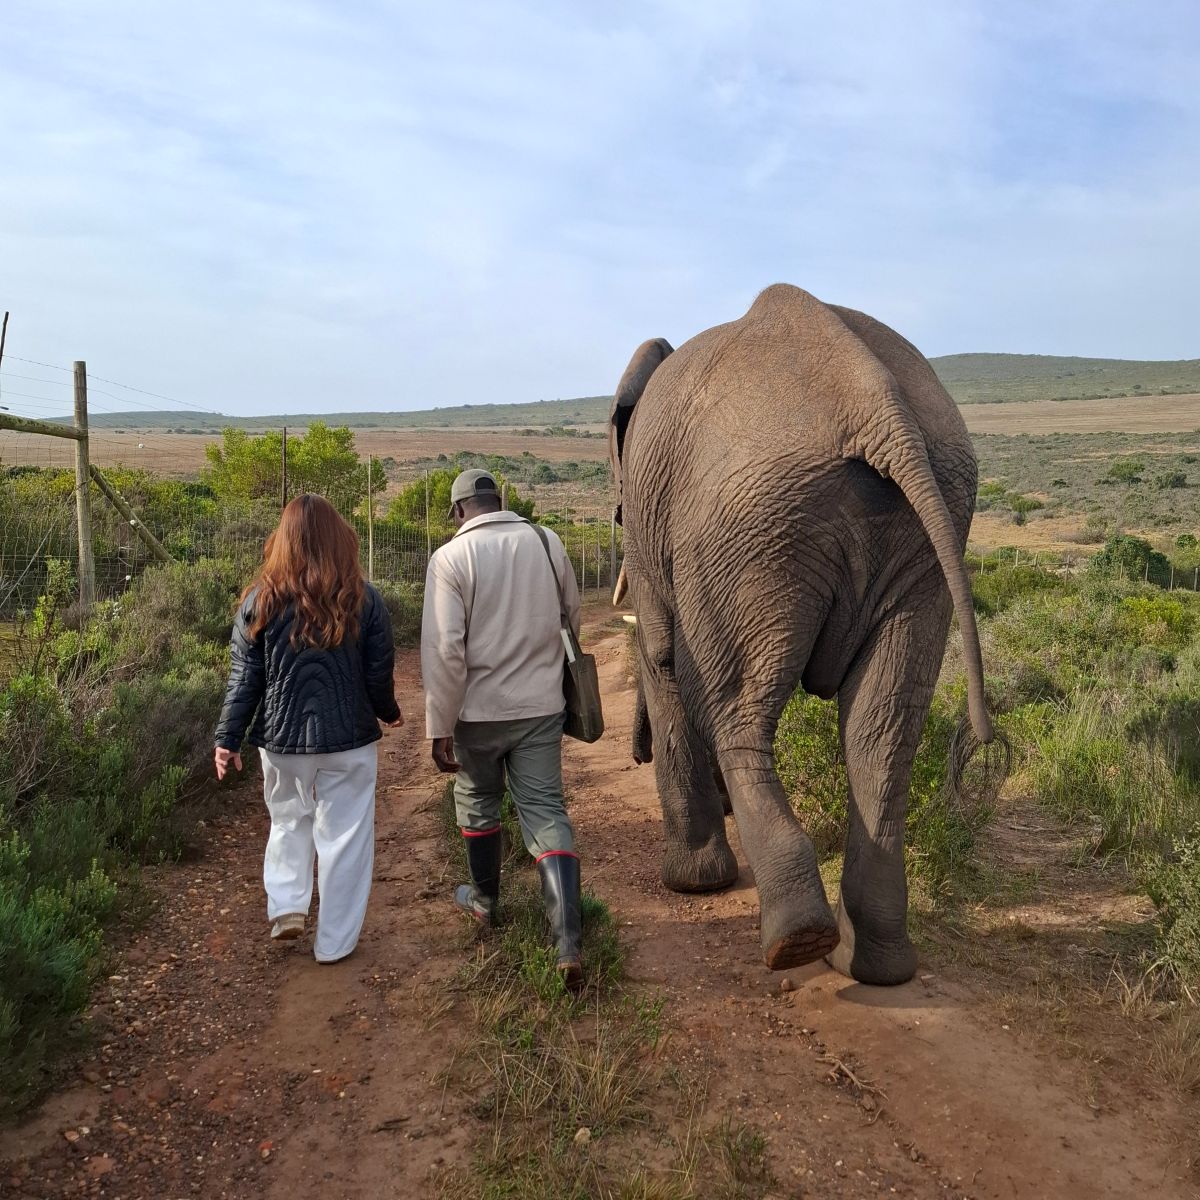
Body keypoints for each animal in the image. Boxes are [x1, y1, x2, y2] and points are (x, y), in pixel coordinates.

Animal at [609, 283, 994, 986]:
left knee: (736, 710)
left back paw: (795, 941)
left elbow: (662, 658)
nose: (633, 752)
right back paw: (874, 966)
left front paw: (691, 884)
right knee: (883, 729)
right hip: (924, 524)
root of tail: (873, 404)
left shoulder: (654, 543)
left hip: (746, 525)